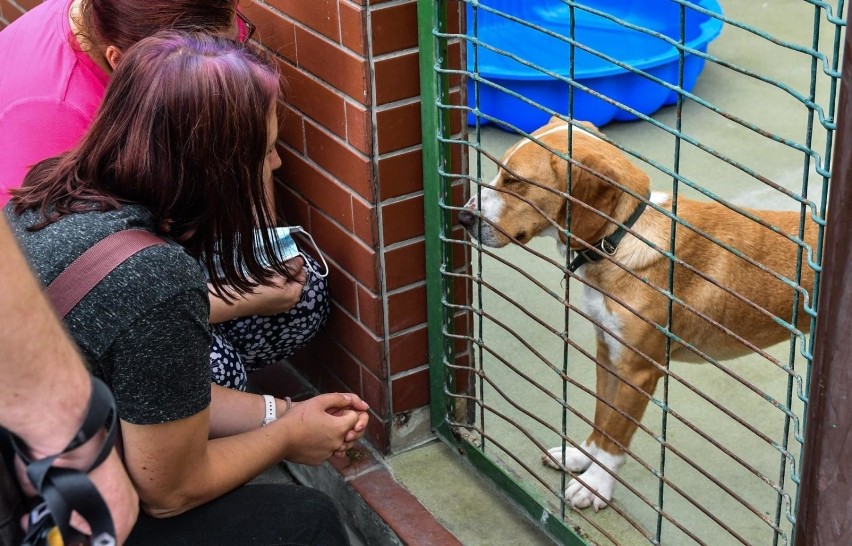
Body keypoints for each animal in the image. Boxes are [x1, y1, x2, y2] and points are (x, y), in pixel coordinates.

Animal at [460, 116, 820, 510]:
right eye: (500, 171)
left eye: (515, 181)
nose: (463, 216)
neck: (619, 239)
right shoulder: (608, 353)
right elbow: (601, 419)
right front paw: (580, 457)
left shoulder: (639, 371)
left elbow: (616, 436)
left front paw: (595, 485)